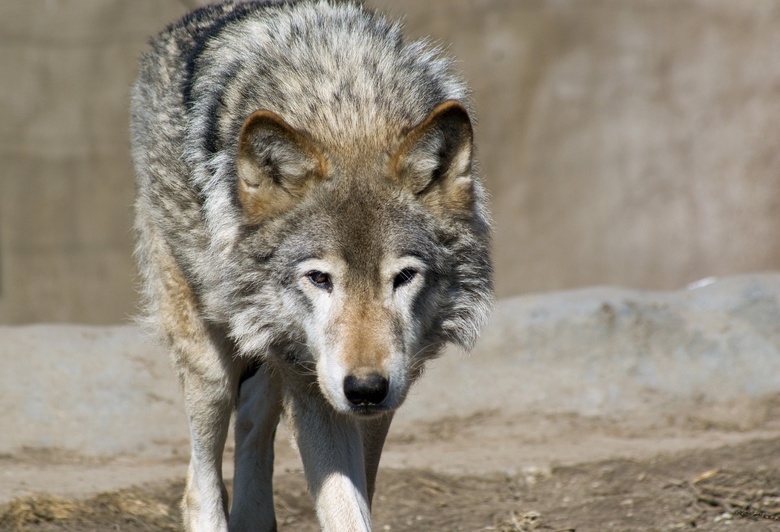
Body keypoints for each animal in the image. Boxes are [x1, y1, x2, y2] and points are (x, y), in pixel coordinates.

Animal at [130, 2, 490, 528]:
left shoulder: (384, 391)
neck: (350, 115)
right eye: (320, 279)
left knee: (254, 417)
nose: (365, 388)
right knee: (199, 484)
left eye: (403, 277)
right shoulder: (316, 388)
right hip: (212, 364)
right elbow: (343, 508)